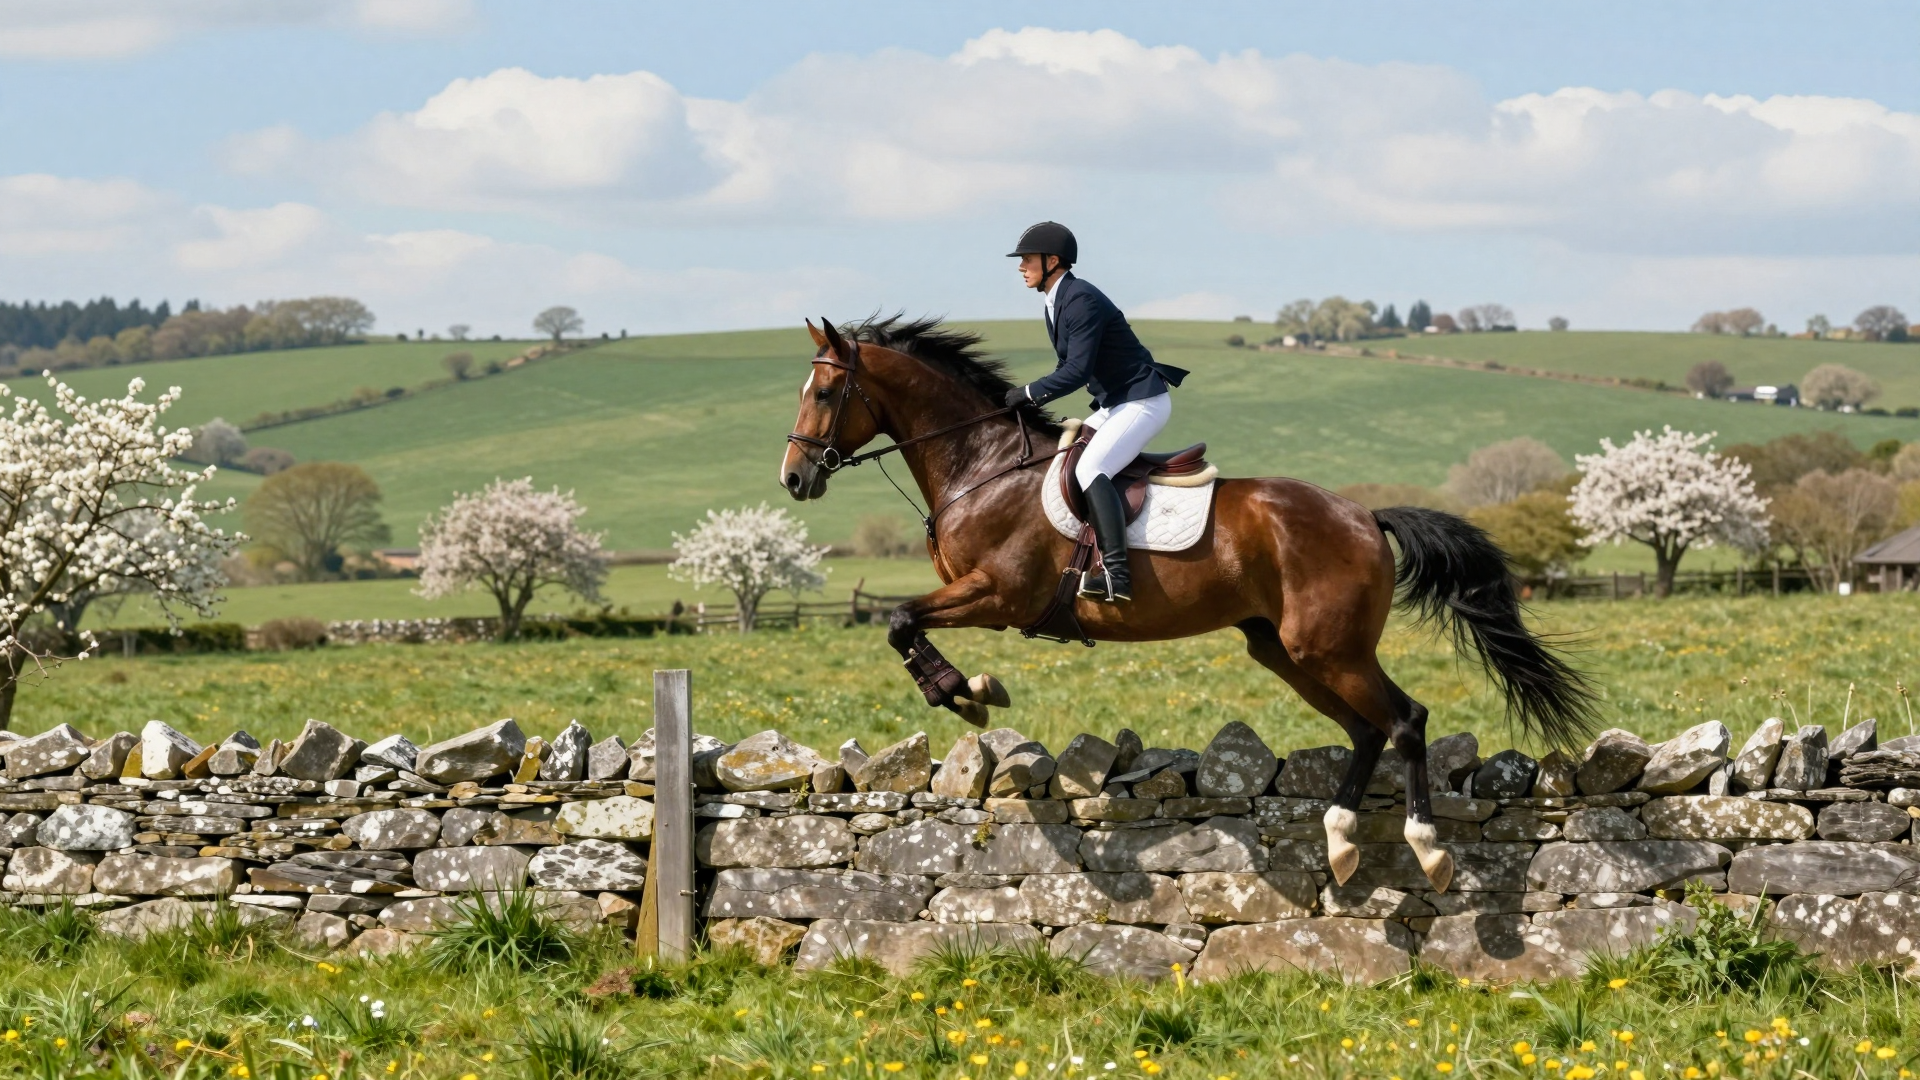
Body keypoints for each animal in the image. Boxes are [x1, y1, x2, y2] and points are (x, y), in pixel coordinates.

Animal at [778, 315, 1596, 892]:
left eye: (824, 393)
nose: (794, 479)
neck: (982, 465)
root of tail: (1365, 515)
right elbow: (902, 624)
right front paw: (969, 690)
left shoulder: (999, 593)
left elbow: (899, 620)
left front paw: (964, 690)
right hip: (1286, 649)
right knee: (1368, 730)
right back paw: (1339, 840)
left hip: (1330, 648)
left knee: (1405, 720)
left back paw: (1427, 853)